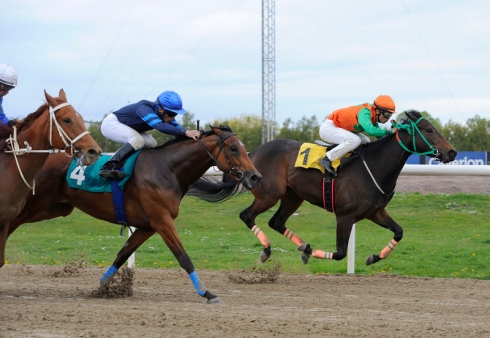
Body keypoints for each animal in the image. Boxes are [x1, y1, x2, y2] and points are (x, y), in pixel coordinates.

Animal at [7, 126, 260, 304]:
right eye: (234, 148)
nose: (255, 177)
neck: (167, 168)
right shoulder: (162, 221)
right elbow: (183, 257)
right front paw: (206, 292)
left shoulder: (148, 226)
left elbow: (123, 253)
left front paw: (105, 285)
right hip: (33, 205)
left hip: (53, 208)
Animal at [186, 111, 458, 266]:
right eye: (429, 129)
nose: (452, 152)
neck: (374, 165)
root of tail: (251, 154)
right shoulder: (345, 215)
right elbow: (340, 253)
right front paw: (315, 252)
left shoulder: (375, 212)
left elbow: (399, 232)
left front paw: (373, 257)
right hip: (269, 194)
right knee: (247, 216)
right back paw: (267, 251)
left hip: (293, 196)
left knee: (276, 222)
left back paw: (303, 246)